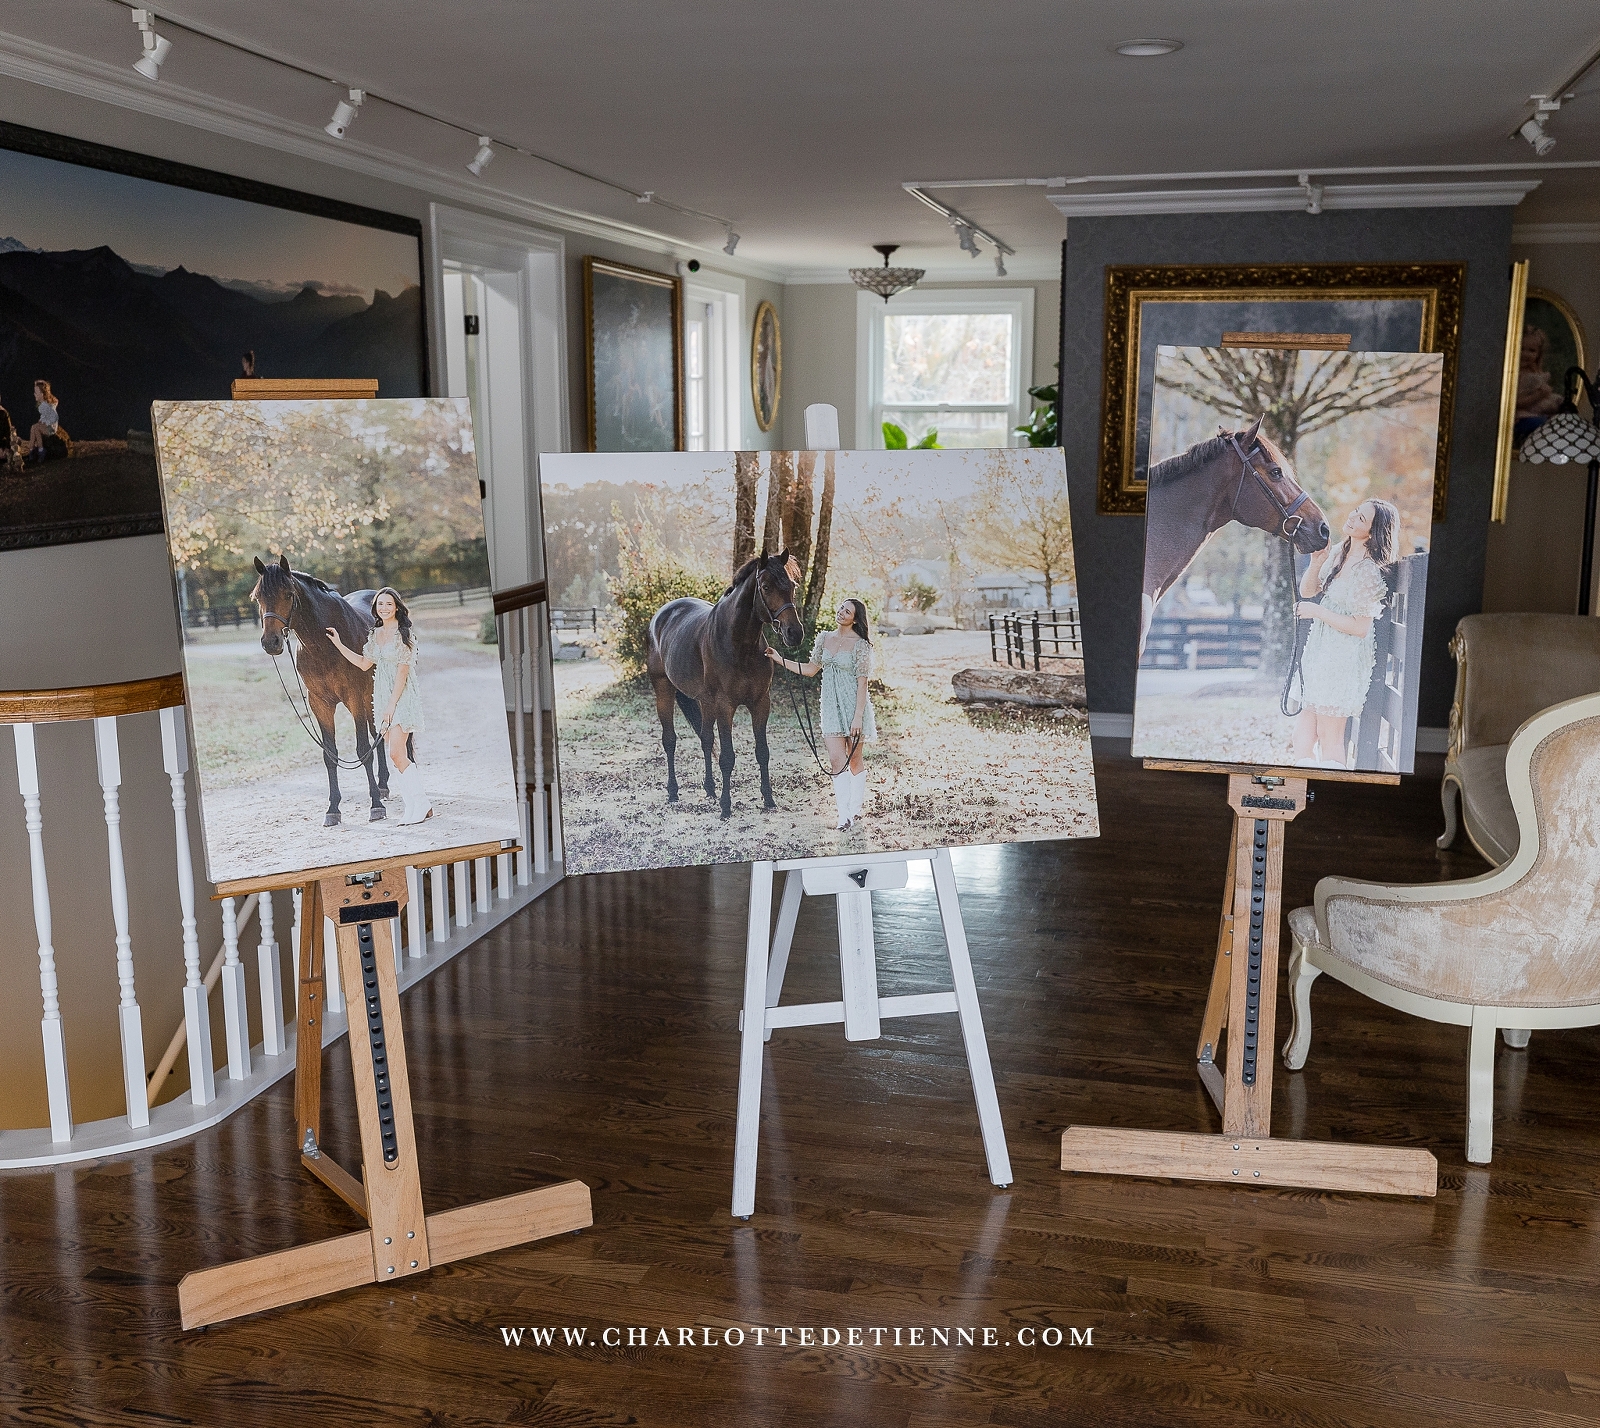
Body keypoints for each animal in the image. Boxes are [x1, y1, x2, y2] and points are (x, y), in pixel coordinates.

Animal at [251, 553, 388, 832]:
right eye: (258, 596)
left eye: (288, 594)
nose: (271, 642)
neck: (325, 644)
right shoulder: (320, 703)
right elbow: (330, 754)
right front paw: (333, 809)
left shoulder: (354, 699)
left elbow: (362, 750)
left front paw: (375, 806)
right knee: (377, 734)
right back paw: (382, 785)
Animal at [646, 550, 806, 819]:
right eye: (765, 586)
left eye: (792, 586)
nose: (794, 633)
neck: (739, 644)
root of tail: (662, 614)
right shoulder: (725, 706)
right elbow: (727, 757)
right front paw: (726, 806)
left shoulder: (760, 703)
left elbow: (762, 752)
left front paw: (768, 799)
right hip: (664, 691)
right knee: (670, 741)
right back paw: (673, 792)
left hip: (705, 701)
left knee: (705, 738)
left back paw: (710, 789)